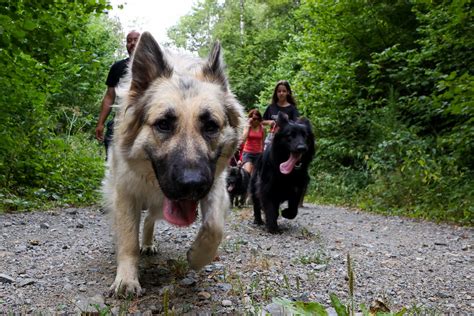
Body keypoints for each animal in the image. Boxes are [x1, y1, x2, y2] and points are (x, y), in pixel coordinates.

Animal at [103, 32, 244, 296]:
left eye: (211, 126)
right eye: (164, 124)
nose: (192, 184)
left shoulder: (215, 184)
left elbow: (214, 226)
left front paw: (198, 257)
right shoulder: (126, 193)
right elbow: (128, 238)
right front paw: (126, 278)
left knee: (150, 220)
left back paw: (148, 243)